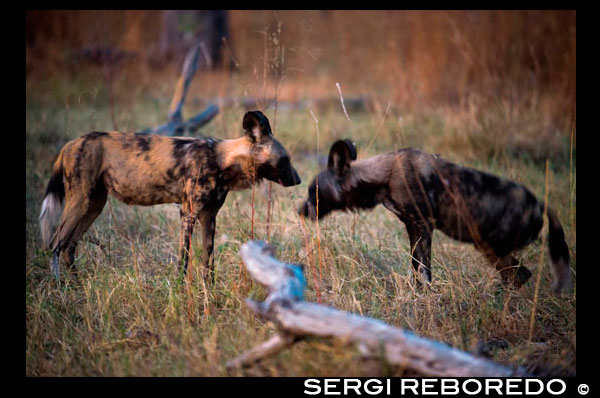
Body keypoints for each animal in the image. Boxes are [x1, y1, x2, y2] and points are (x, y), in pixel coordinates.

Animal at [38, 110, 300, 282]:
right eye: (285, 159)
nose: (298, 180)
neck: (222, 160)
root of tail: (70, 144)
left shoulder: (209, 217)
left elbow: (208, 260)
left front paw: (210, 290)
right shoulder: (188, 214)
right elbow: (184, 259)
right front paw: (179, 290)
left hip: (94, 205)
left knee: (69, 246)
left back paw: (77, 284)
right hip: (81, 203)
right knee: (55, 244)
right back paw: (59, 288)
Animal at [300, 140, 572, 292]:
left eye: (314, 192)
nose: (300, 210)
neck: (383, 176)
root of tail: (540, 203)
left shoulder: (422, 226)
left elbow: (423, 270)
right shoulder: (413, 227)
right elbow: (416, 268)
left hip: (490, 246)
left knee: (519, 275)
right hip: (492, 248)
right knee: (519, 276)